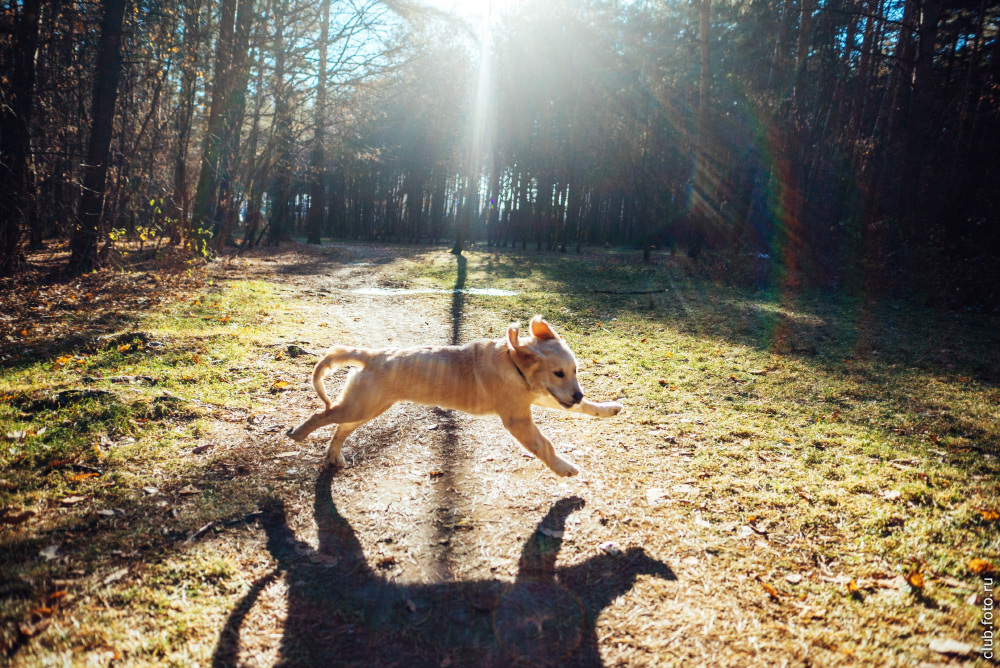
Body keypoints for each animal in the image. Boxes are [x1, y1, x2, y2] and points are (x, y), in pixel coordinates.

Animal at [286, 314, 620, 474]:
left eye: (575, 371)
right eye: (558, 373)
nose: (576, 395)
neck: (513, 362)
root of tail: (372, 355)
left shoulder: (539, 396)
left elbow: (586, 408)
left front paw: (608, 408)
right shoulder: (518, 419)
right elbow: (544, 445)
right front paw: (565, 468)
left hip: (366, 407)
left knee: (339, 429)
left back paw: (334, 457)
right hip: (360, 407)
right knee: (321, 415)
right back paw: (298, 434)